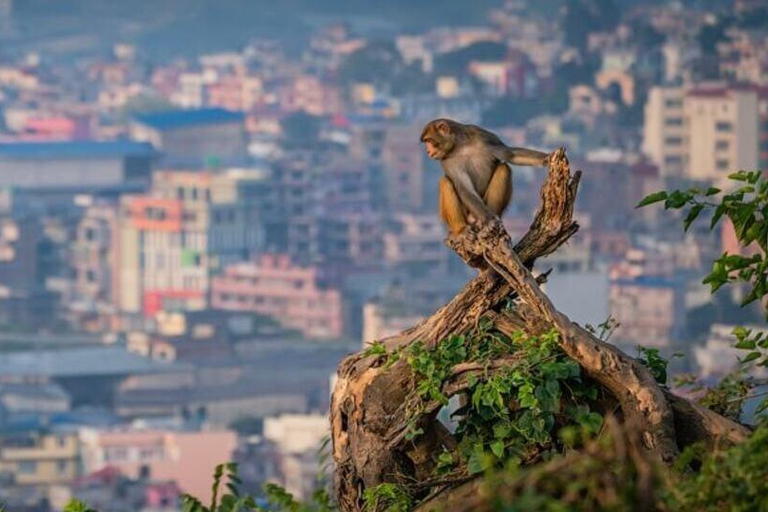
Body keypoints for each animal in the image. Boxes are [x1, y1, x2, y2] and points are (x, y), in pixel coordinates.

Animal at [420, 118, 552, 236]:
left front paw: (546, 158)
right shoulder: (446, 161)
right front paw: (489, 219)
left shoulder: (485, 137)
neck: (460, 147)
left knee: (503, 169)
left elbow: (510, 155)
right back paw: (462, 229)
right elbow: (464, 188)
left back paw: (493, 217)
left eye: (429, 141)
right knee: (445, 182)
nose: (427, 151)